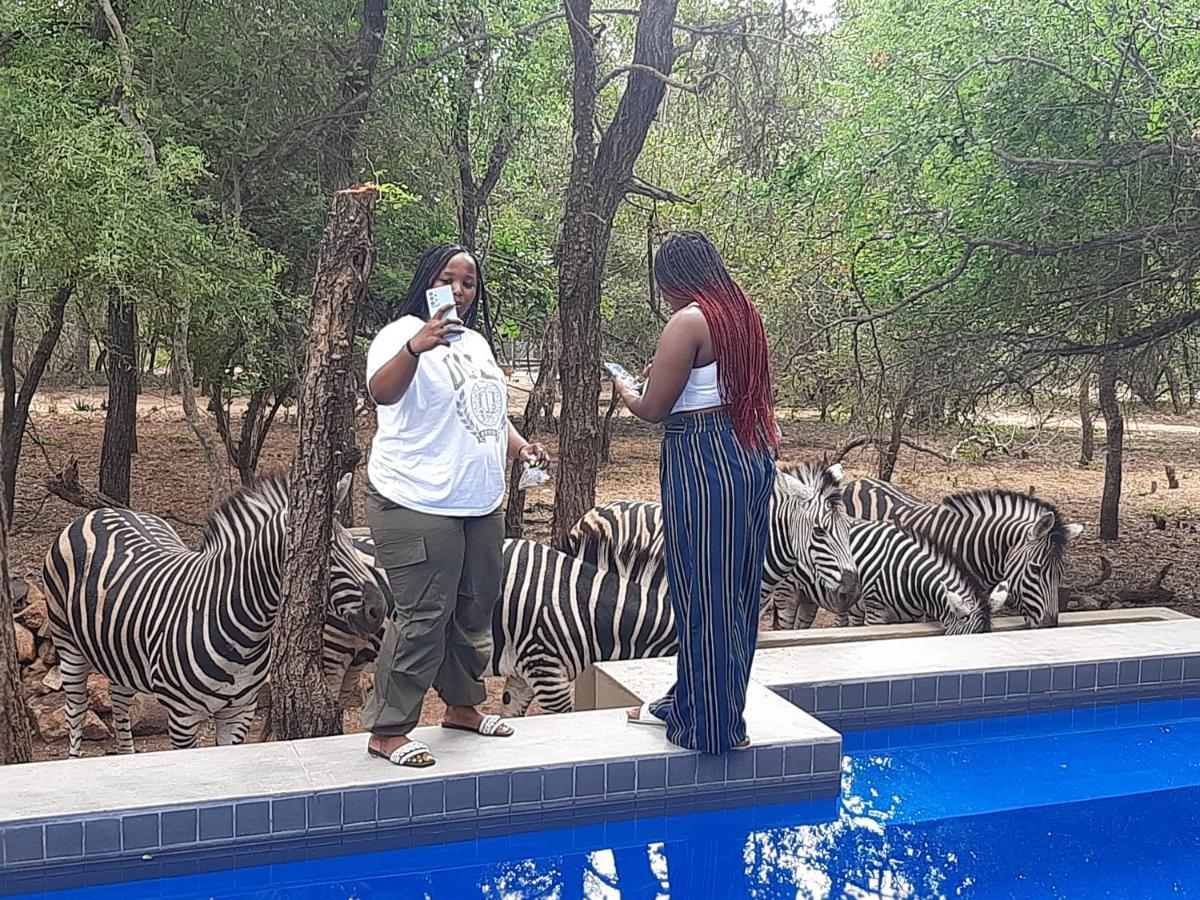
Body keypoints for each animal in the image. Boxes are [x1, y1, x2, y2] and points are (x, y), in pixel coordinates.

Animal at [42, 475, 386, 758]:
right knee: (76, 709)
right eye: (325, 554)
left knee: (119, 700)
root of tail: (99, 512)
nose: (379, 609)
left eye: (351, 545)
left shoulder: (239, 712)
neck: (244, 631)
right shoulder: (182, 715)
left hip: (120, 652)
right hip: (67, 643)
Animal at [777, 518, 1012, 638]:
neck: (910, 576)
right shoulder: (875, 614)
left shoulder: (914, 617)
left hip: (808, 596)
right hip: (787, 591)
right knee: (784, 625)